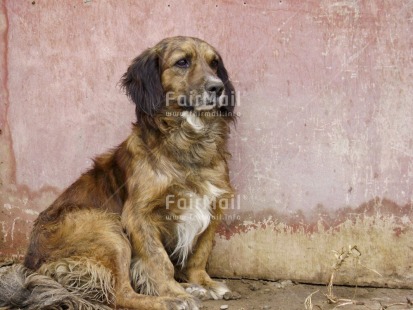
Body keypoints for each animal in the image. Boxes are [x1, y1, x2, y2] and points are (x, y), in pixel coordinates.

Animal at [0, 37, 235, 310]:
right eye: (182, 62)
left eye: (214, 63)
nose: (217, 87)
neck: (188, 144)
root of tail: (32, 265)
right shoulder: (138, 215)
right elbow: (159, 260)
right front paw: (173, 292)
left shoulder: (213, 205)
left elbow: (200, 252)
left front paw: (203, 282)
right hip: (106, 228)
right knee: (119, 294)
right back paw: (169, 300)